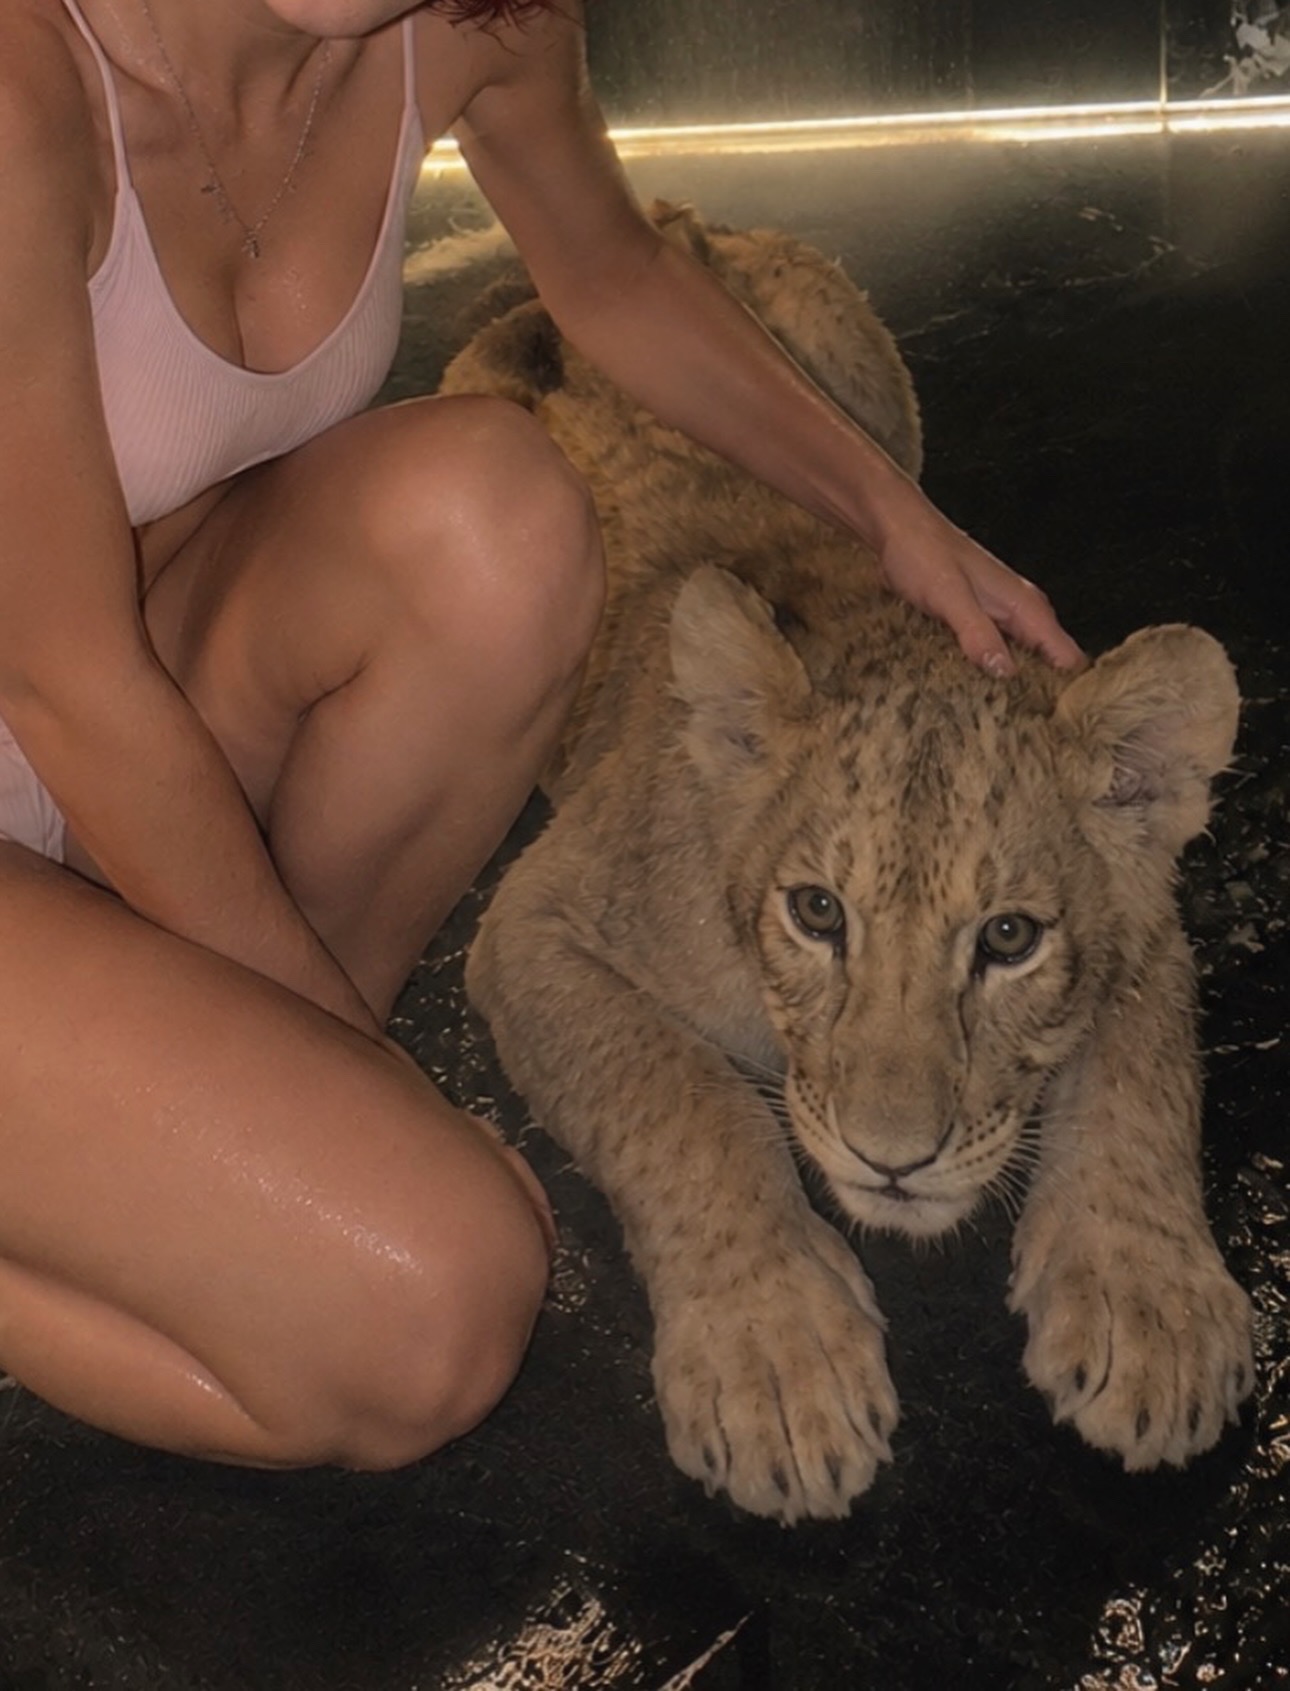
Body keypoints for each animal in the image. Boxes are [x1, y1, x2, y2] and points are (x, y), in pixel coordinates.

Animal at [441, 204, 1255, 1524]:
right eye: (817, 912)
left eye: (1010, 937)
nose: (894, 1159)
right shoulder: (533, 921)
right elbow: (683, 1094)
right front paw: (775, 1359)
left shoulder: (1154, 917)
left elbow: (1143, 1077)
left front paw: (1150, 1302)